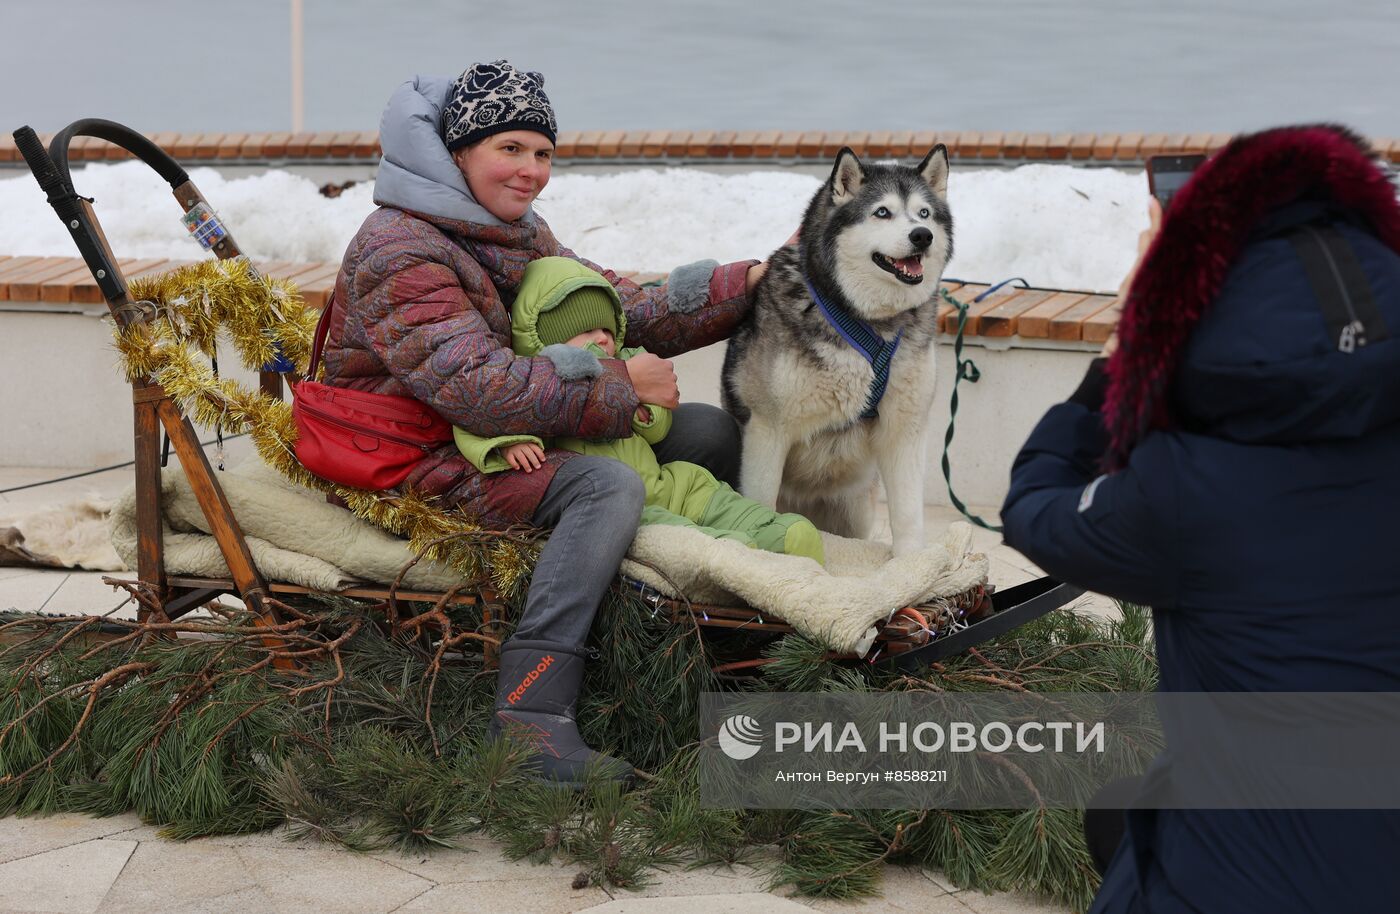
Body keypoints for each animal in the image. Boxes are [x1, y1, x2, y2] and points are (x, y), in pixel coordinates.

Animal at [722, 146, 952, 551]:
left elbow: (908, 517)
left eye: (924, 213)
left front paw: (914, 563)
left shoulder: (905, 430)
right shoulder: (767, 431)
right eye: (882, 212)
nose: (922, 236)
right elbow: (761, 508)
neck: (869, 322)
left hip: (855, 513)